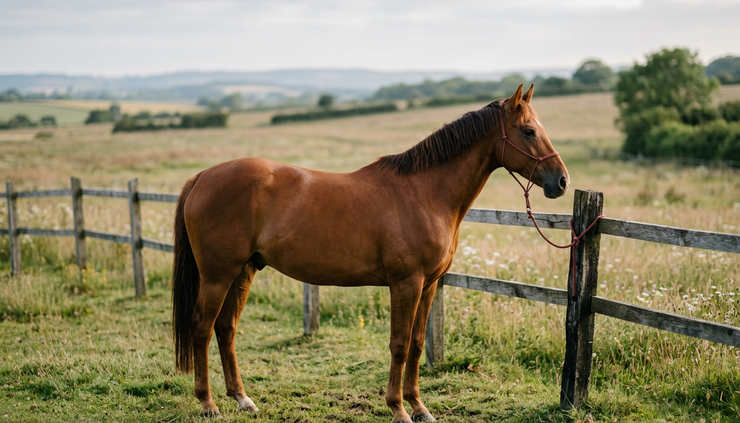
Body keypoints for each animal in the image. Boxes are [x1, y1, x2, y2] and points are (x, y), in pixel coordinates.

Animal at [171, 84, 569, 423]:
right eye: (528, 131)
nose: (561, 181)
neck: (425, 192)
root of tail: (202, 177)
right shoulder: (406, 283)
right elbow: (399, 344)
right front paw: (398, 408)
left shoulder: (429, 285)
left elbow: (418, 343)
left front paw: (419, 407)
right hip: (217, 275)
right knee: (202, 327)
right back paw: (207, 403)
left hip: (244, 270)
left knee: (226, 328)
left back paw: (242, 399)